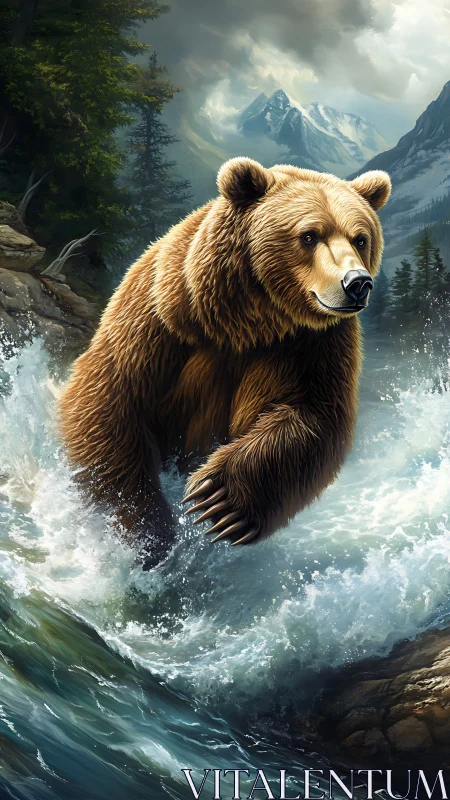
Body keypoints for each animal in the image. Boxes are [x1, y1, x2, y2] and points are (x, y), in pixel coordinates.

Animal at [59, 158, 391, 568]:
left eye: (360, 238)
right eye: (310, 235)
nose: (357, 283)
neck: (247, 322)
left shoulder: (313, 346)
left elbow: (315, 417)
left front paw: (219, 499)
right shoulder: (161, 318)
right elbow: (108, 401)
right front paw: (146, 530)